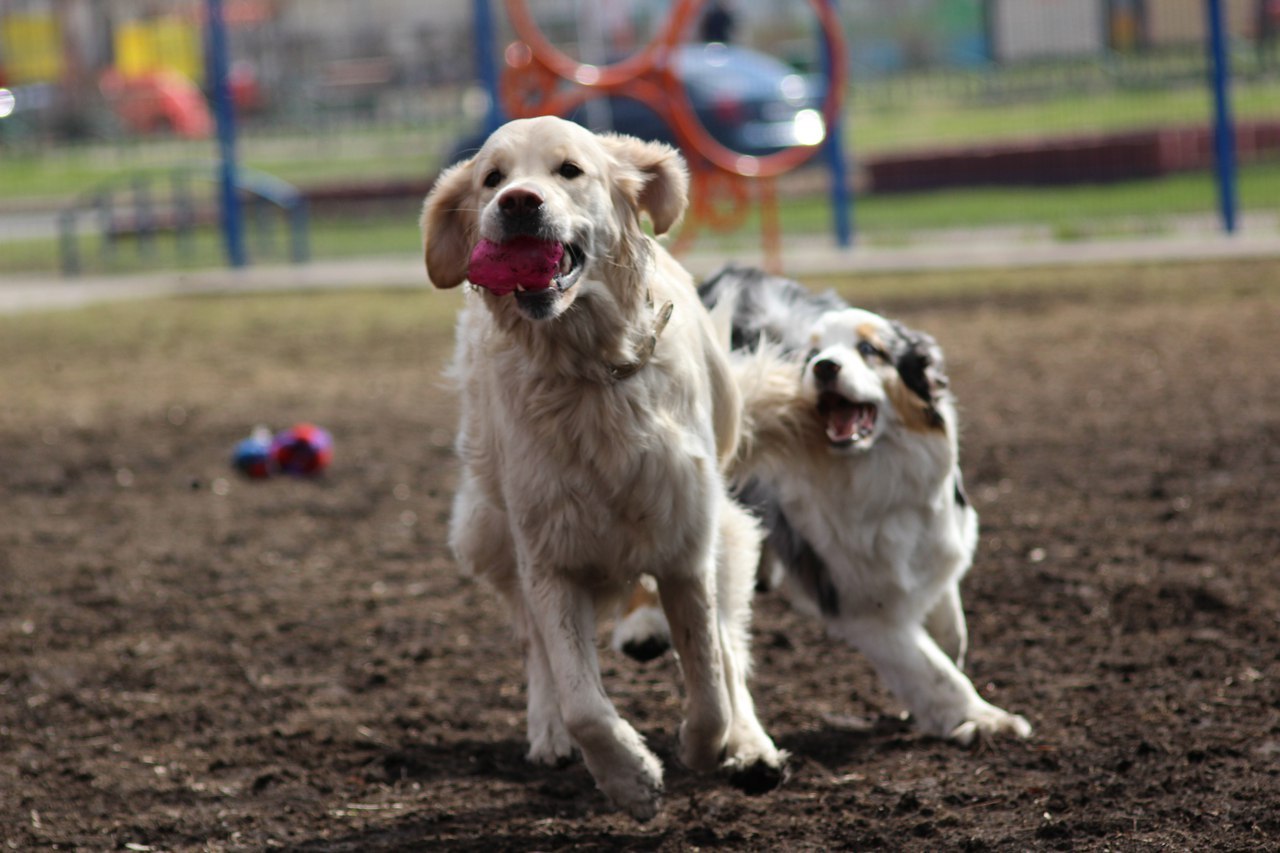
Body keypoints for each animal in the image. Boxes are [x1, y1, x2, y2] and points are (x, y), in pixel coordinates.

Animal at [422, 116, 778, 814]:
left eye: (570, 170)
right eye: (492, 179)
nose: (519, 203)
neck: (587, 373)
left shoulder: (685, 546)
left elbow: (710, 682)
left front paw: (706, 747)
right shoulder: (549, 557)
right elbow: (582, 698)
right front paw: (629, 777)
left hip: (725, 532)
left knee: (729, 647)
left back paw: (751, 746)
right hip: (487, 528)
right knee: (535, 646)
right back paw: (549, 732)